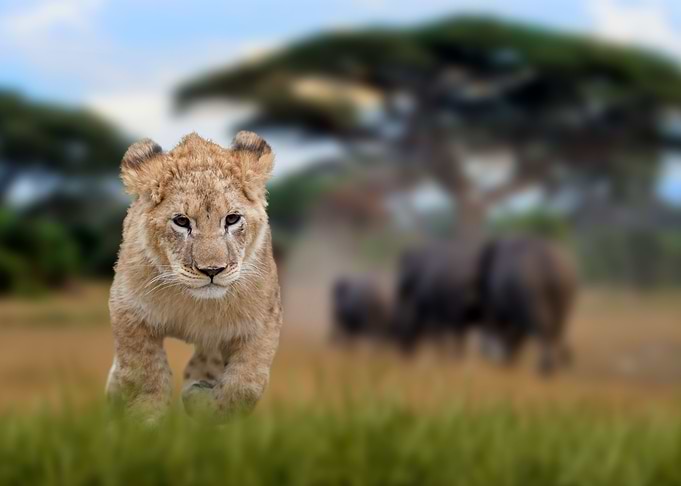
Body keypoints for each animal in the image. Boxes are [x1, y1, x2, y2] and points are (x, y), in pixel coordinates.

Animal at [106, 131, 283, 423]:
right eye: (181, 221)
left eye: (232, 219)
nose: (212, 270)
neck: (197, 304)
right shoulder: (128, 310)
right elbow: (145, 374)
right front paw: (145, 422)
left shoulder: (263, 321)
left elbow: (245, 383)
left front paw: (204, 405)